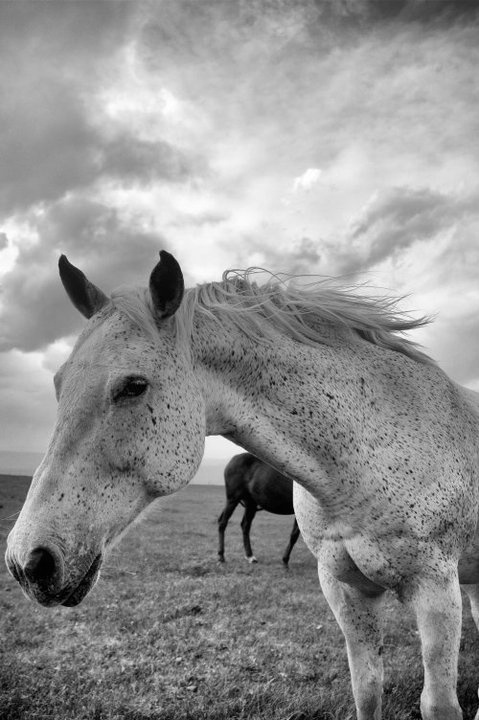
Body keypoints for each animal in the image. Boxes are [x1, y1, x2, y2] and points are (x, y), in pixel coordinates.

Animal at [5, 249, 479, 720]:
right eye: (58, 384)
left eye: (134, 385)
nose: (27, 562)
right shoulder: (345, 588)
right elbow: (367, 689)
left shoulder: (436, 590)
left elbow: (438, 704)